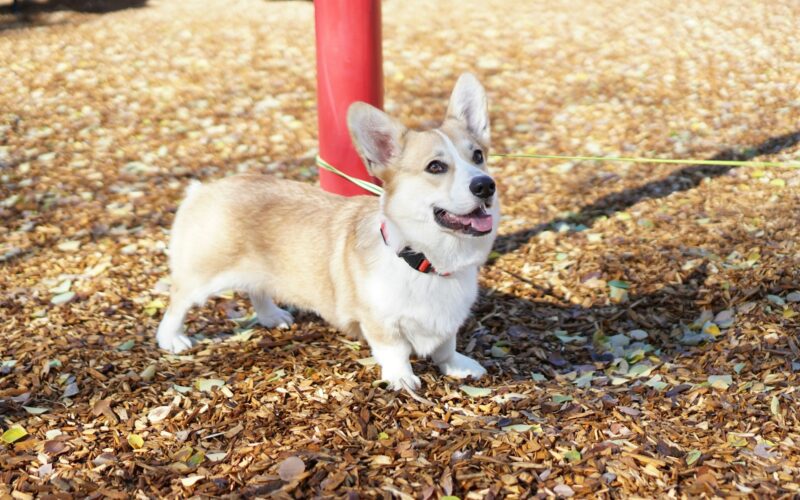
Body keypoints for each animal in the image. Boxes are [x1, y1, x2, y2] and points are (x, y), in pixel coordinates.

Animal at [156, 72, 500, 388]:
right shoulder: (380, 323)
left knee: (256, 288)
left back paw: (271, 315)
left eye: (478, 156)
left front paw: (457, 365)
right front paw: (401, 379)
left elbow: (445, 347)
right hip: (203, 275)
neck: (425, 260)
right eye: (435, 167)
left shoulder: (447, 324)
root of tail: (203, 189)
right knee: (178, 301)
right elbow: (395, 351)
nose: (486, 185)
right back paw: (171, 338)